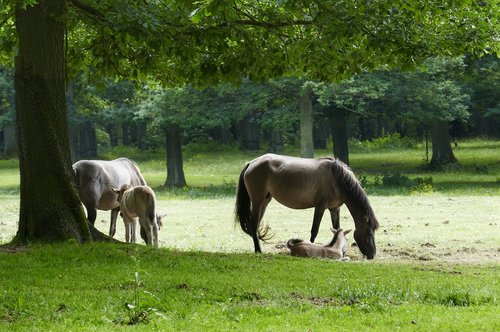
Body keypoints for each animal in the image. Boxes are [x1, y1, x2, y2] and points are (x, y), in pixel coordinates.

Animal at [234, 154, 378, 260]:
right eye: (369, 232)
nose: (372, 255)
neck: (336, 179)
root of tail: (251, 163)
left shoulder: (334, 209)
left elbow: (337, 228)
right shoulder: (320, 207)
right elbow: (314, 230)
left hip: (265, 201)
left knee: (256, 224)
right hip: (257, 201)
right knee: (254, 224)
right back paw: (258, 250)